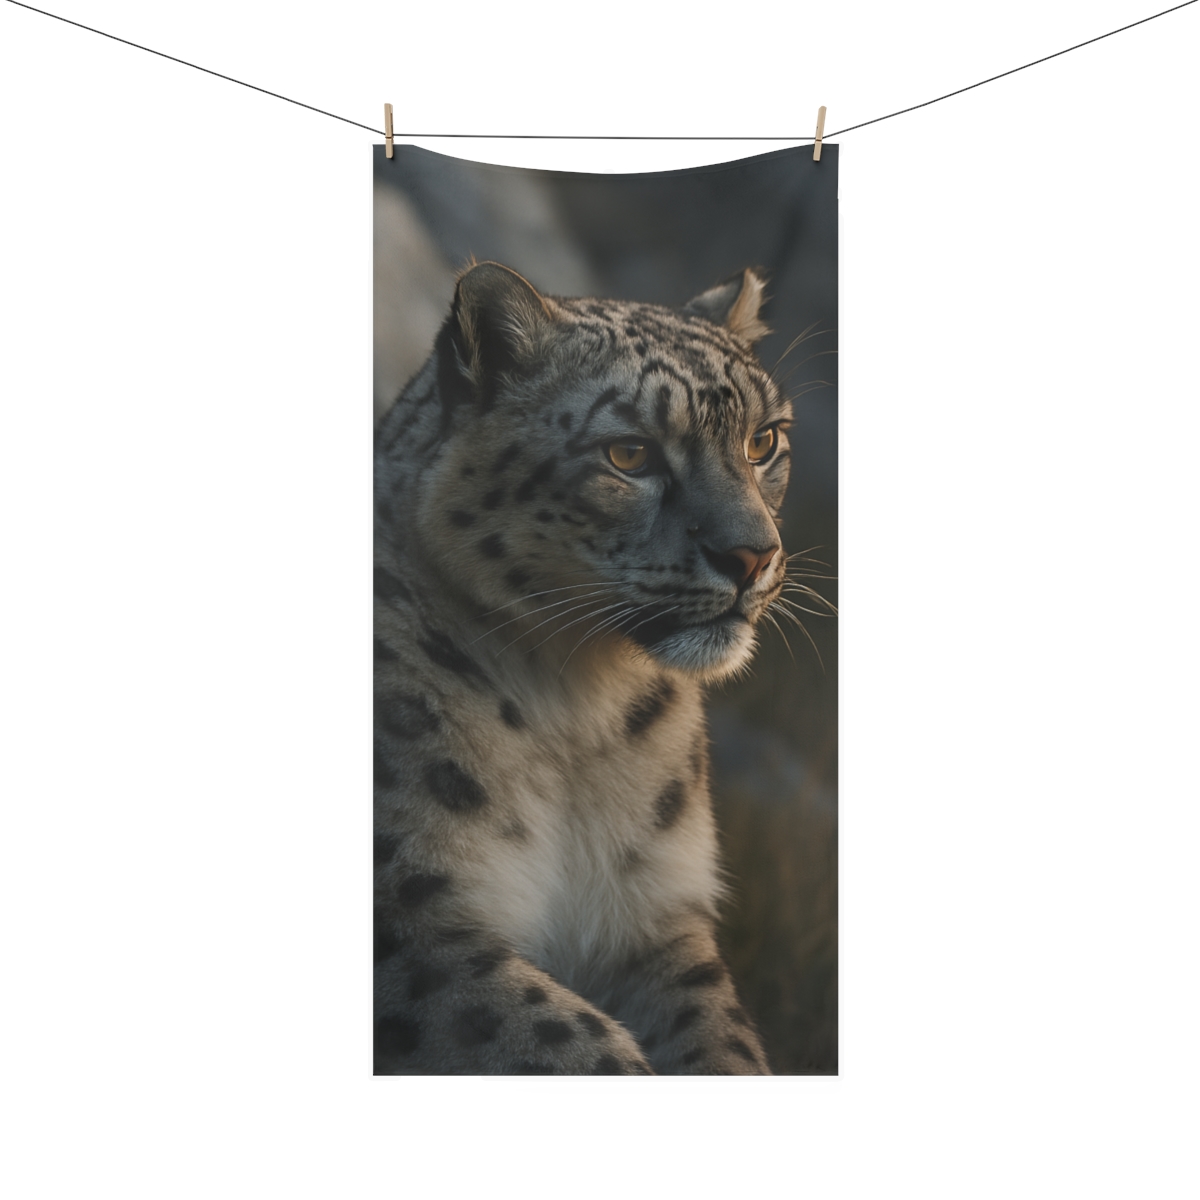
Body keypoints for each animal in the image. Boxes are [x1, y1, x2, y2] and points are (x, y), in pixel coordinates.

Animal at [374, 261, 794, 1074]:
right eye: (629, 454)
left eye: (763, 440)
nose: (753, 555)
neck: (578, 709)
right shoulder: (413, 918)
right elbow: (569, 1042)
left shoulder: (657, 917)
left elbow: (723, 1041)